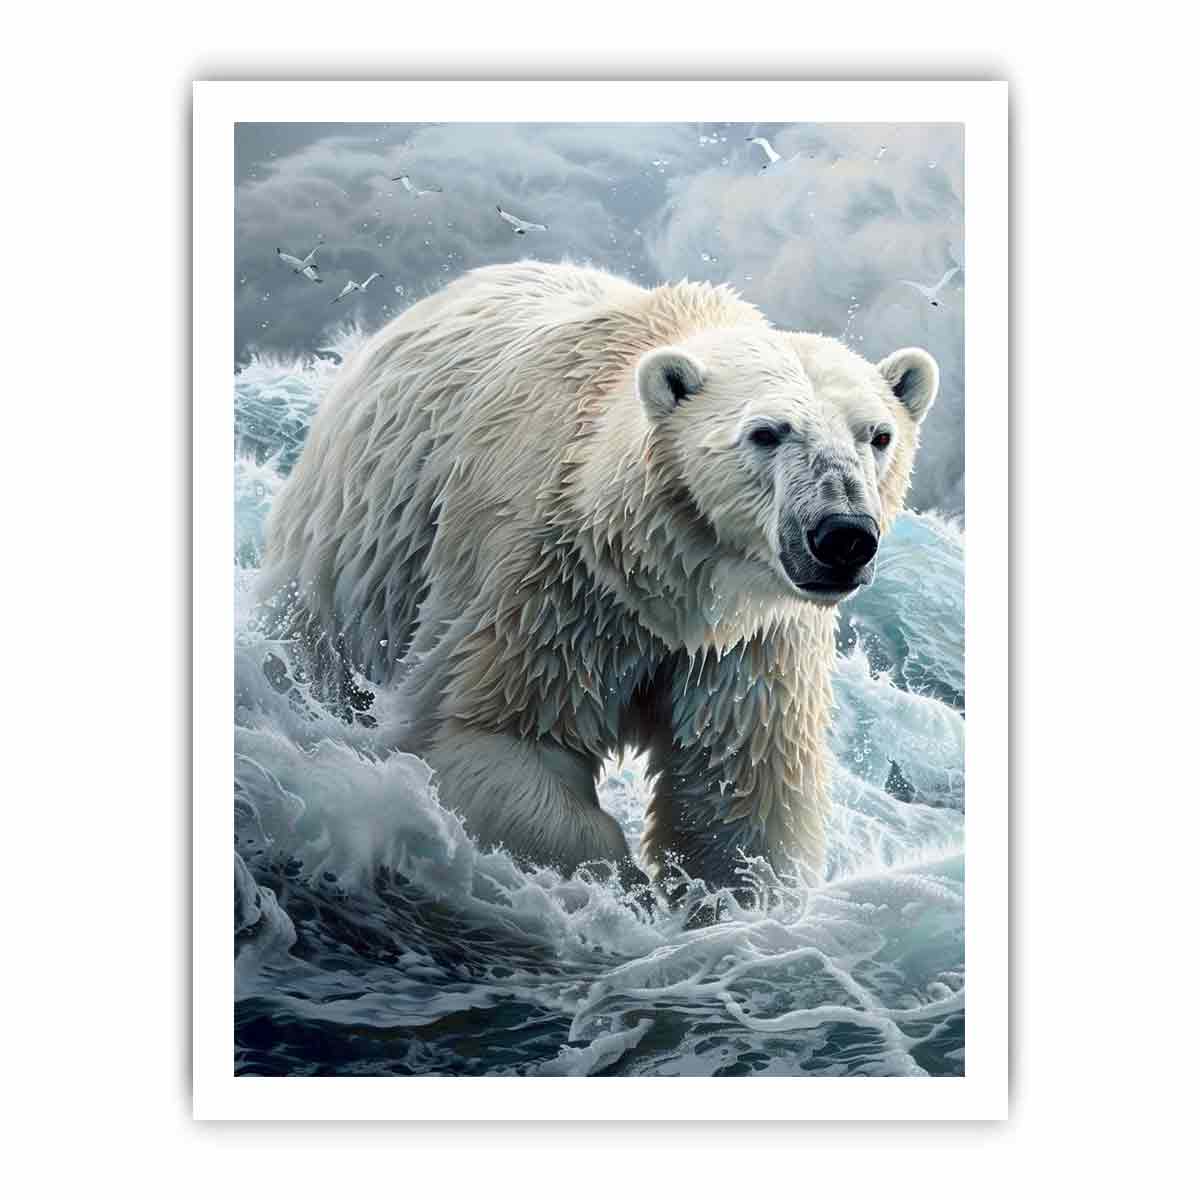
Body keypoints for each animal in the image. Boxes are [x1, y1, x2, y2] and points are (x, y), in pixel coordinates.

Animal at [258, 260, 938, 897]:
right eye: (766, 433)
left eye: (878, 435)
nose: (842, 535)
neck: (666, 575)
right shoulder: (549, 584)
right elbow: (496, 735)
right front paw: (622, 888)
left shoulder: (752, 642)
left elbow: (740, 793)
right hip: (357, 551)